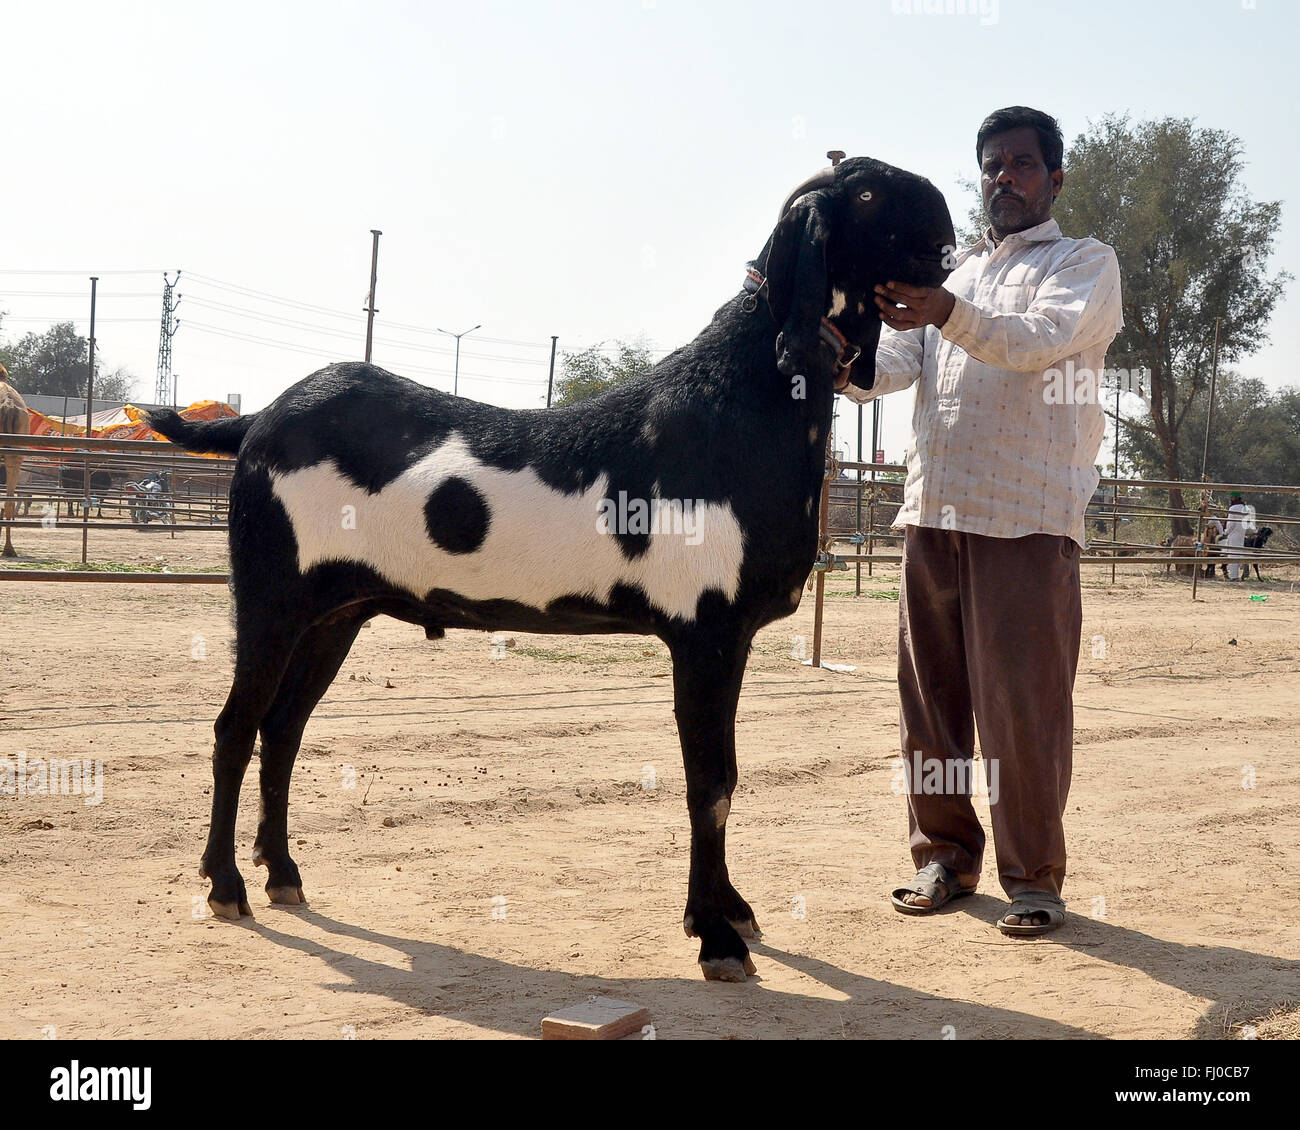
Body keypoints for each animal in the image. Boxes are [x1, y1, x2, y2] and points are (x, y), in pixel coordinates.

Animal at [146, 157, 955, 982]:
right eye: (867, 193)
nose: (949, 229)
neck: (739, 402)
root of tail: (258, 422)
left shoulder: (728, 638)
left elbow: (725, 777)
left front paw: (732, 911)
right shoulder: (705, 632)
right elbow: (711, 784)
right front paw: (715, 936)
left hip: (335, 613)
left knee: (281, 730)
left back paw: (283, 874)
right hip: (270, 598)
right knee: (236, 727)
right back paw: (226, 885)